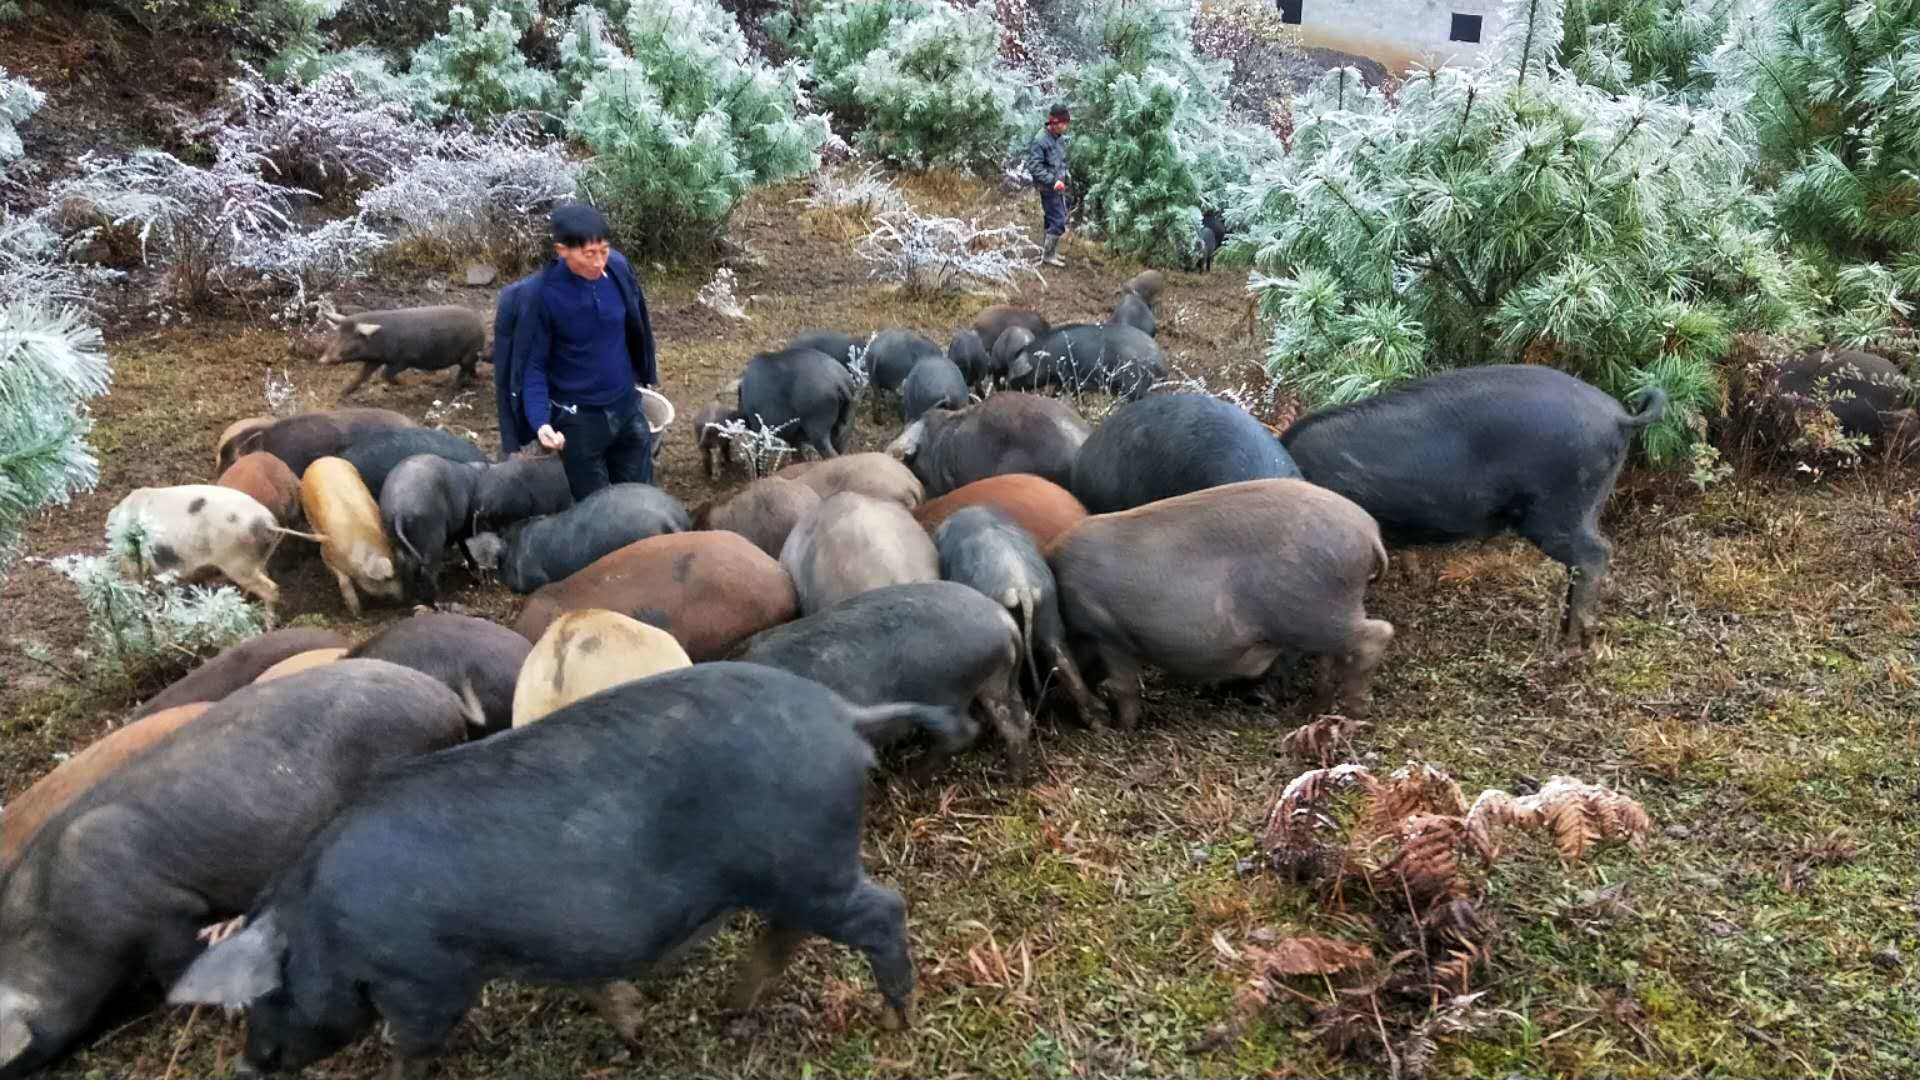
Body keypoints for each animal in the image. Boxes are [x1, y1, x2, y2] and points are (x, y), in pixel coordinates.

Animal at [1052, 484, 1397, 726]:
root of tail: (1370, 533)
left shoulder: (1107, 629)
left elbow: (1123, 685)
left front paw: (1123, 728)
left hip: (1312, 612)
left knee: (1377, 634)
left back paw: (1354, 714)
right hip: (1323, 616)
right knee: (1333, 655)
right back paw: (1312, 711)